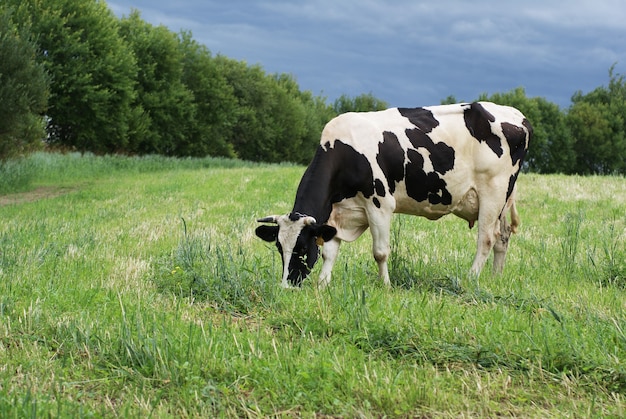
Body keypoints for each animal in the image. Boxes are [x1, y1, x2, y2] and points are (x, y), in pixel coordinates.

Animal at [254, 101, 532, 288]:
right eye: (279, 247)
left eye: (301, 248)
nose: (286, 286)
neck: (344, 151)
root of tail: (517, 115)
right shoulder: (337, 213)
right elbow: (329, 251)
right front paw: (323, 284)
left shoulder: (380, 204)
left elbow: (380, 252)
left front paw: (386, 285)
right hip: (503, 200)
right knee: (502, 237)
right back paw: (495, 278)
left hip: (493, 192)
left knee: (486, 238)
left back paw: (470, 278)